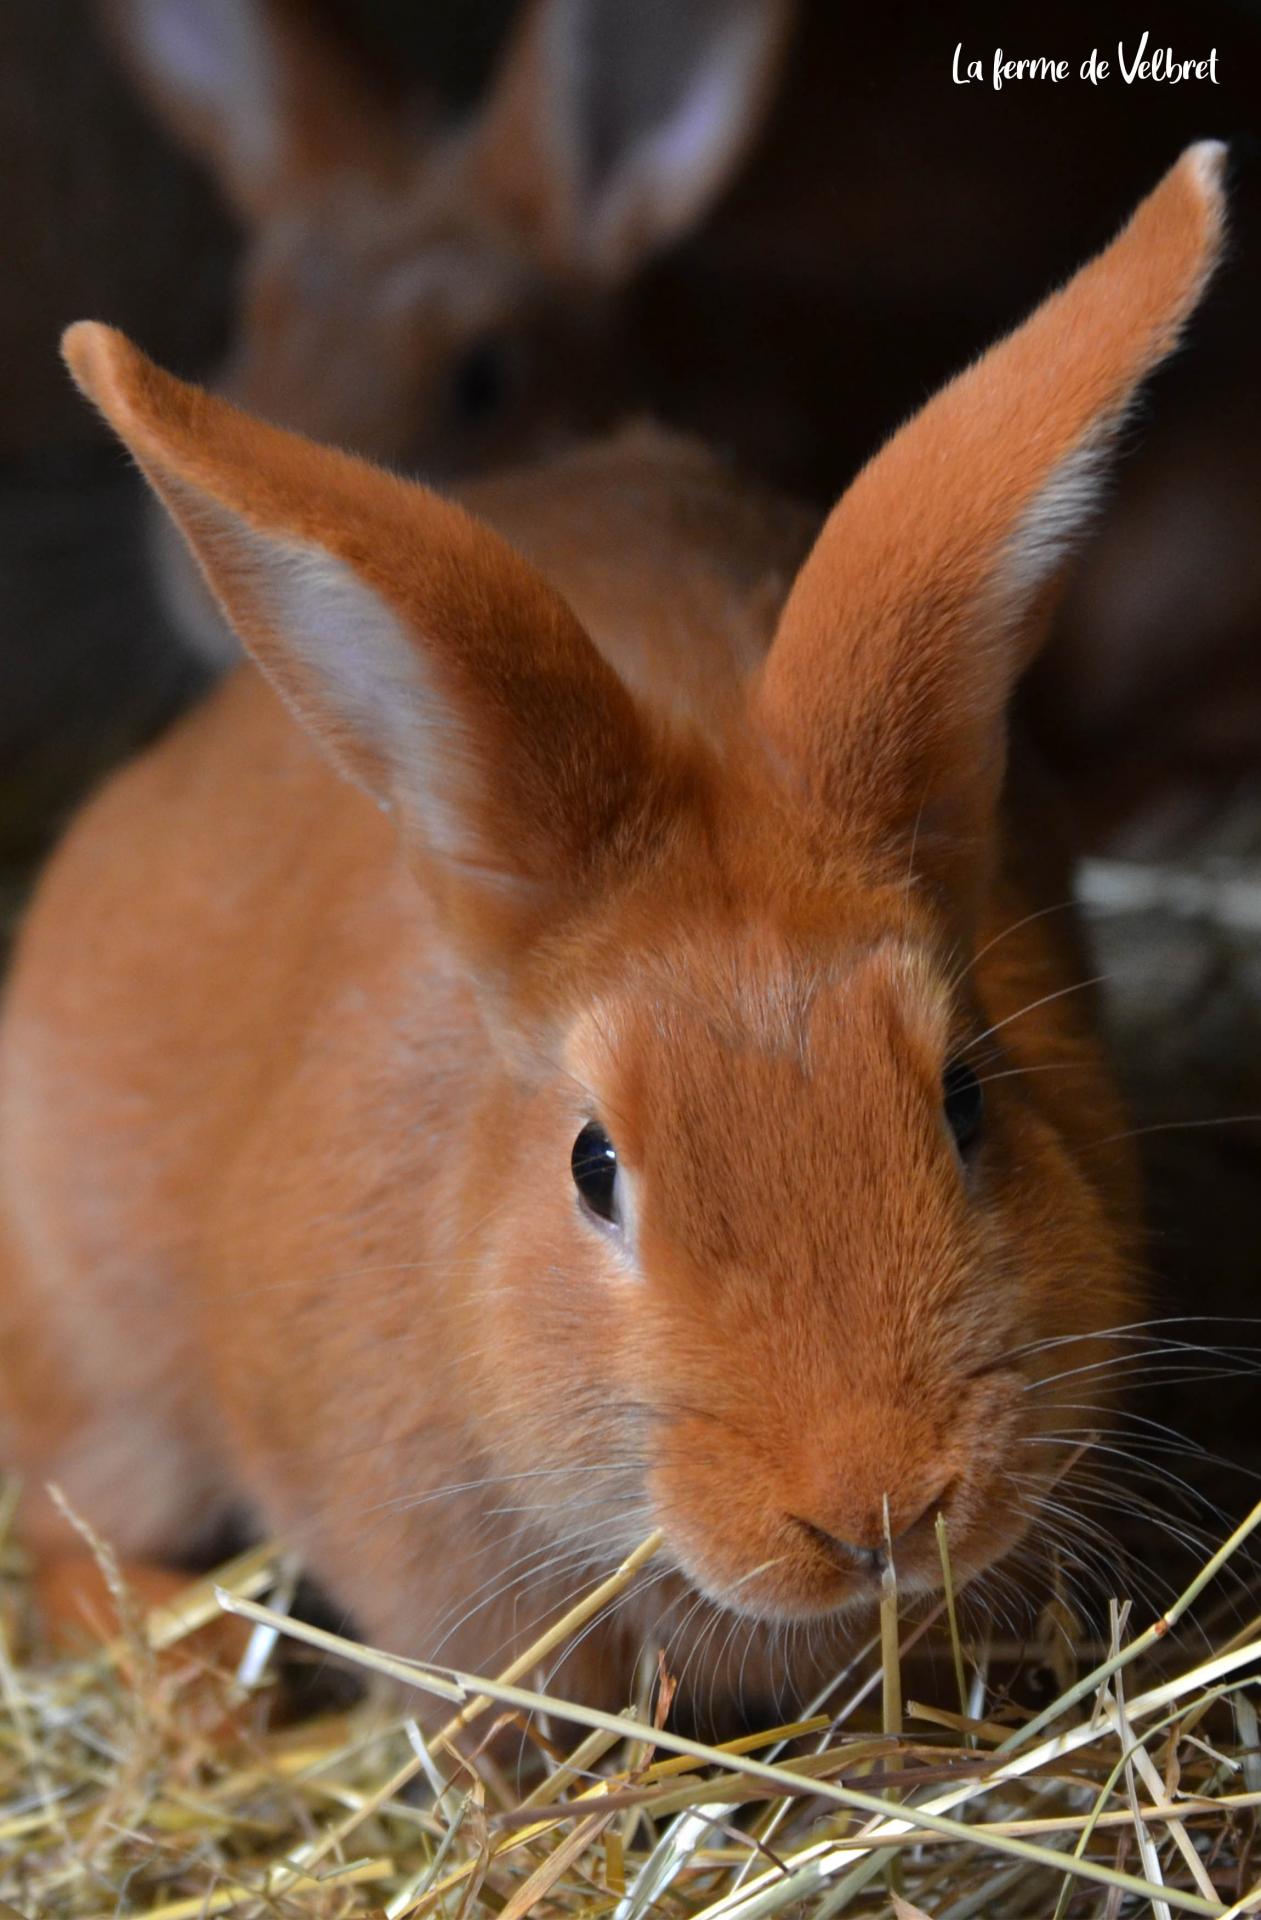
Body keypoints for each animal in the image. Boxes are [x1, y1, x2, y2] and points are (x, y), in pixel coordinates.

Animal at [0, 145, 1228, 1712]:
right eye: (594, 1168)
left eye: (966, 1100)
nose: (878, 1509)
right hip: (102, 1363)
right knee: (61, 1530)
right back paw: (212, 1675)